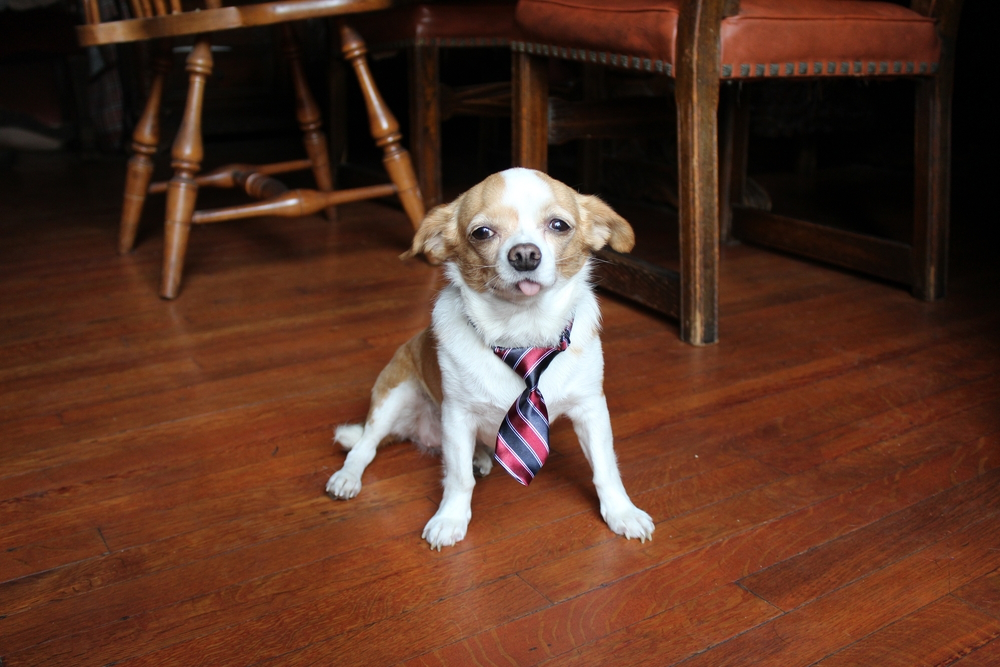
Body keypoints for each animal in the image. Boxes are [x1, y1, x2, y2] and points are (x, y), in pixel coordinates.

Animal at [326, 170, 656, 552]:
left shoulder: (591, 409)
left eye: (559, 225)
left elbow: (605, 469)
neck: (523, 334)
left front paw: (621, 512)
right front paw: (450, 519)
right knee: (364, 446)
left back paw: (479, 457)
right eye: (482, 232)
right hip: (394, 396)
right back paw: (347, 477)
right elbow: (457, 479)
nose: (525, 255)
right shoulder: (457, 416)